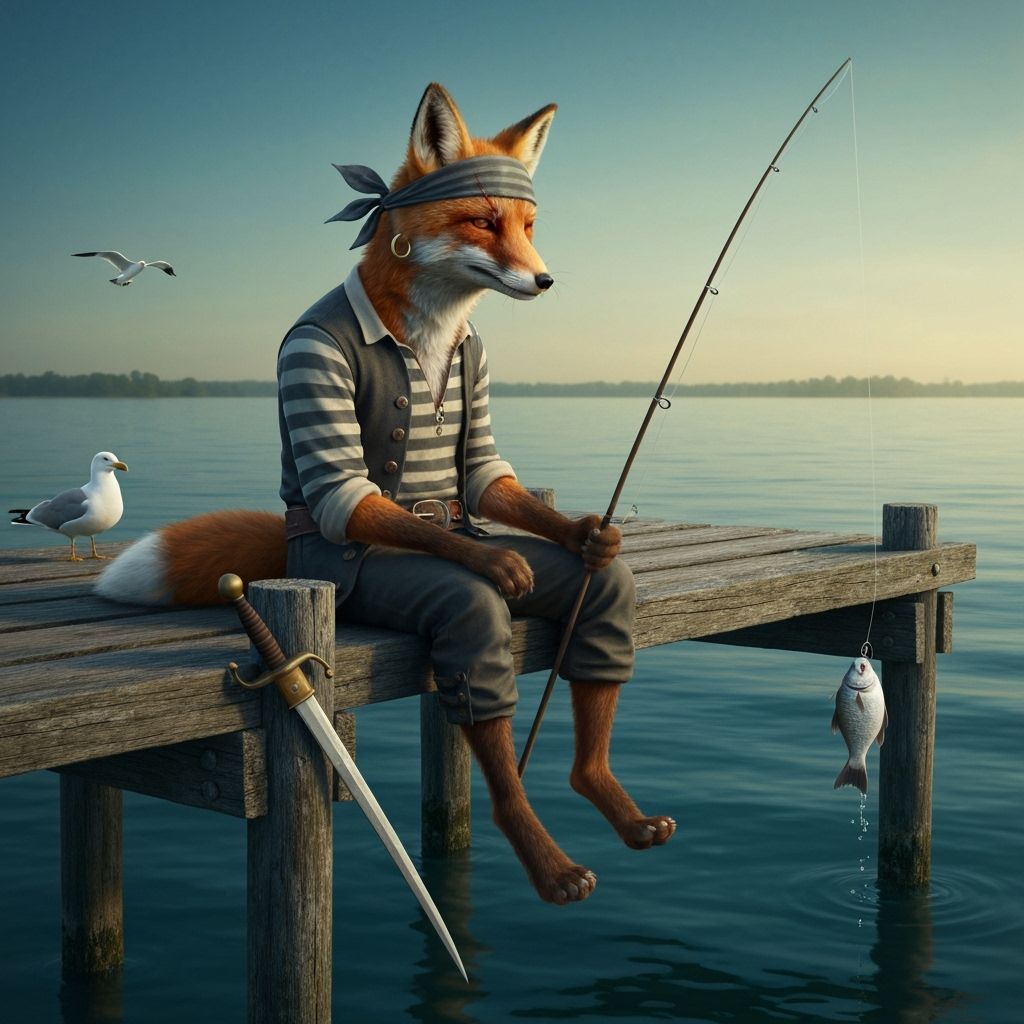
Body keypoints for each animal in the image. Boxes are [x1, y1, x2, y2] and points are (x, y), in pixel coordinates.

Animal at [97, 84, 675, 905]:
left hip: (586, 599)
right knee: (477, 651)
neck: (431, 335)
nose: (546, 280)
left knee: (602, 612)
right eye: (482, 222)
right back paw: (545, 857)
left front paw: (588, 531)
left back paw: (606, 794)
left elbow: (488, 475)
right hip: (408, 593)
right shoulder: (333, 420)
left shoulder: (478, 413)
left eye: (528, 226)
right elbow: (378, 499)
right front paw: (499, 565)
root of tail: (289, 557)